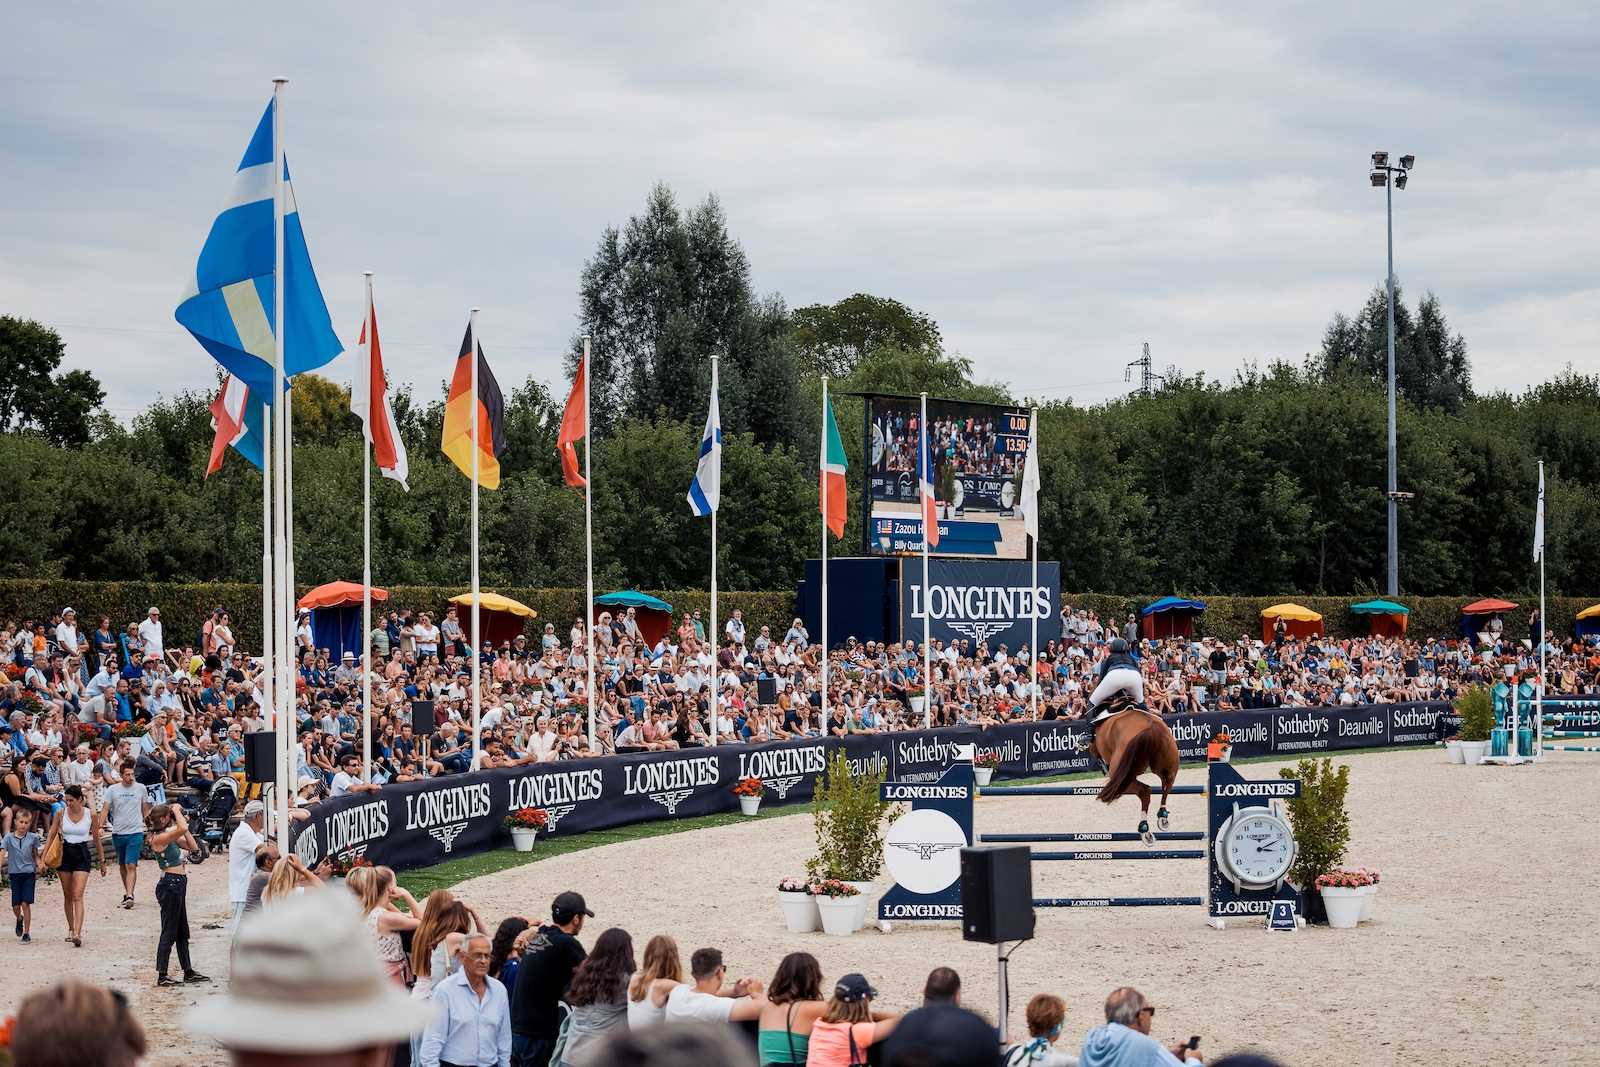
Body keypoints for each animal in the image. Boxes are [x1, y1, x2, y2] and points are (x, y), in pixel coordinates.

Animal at [1088, 703, 1190, 844]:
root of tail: (1151, 728)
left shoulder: (1094, 747)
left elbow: (1095, 751)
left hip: (1123, 776)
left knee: (1145, 790)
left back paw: (1144, 829)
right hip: (1166, 767)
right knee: (1167, 783)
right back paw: (1162, 817)